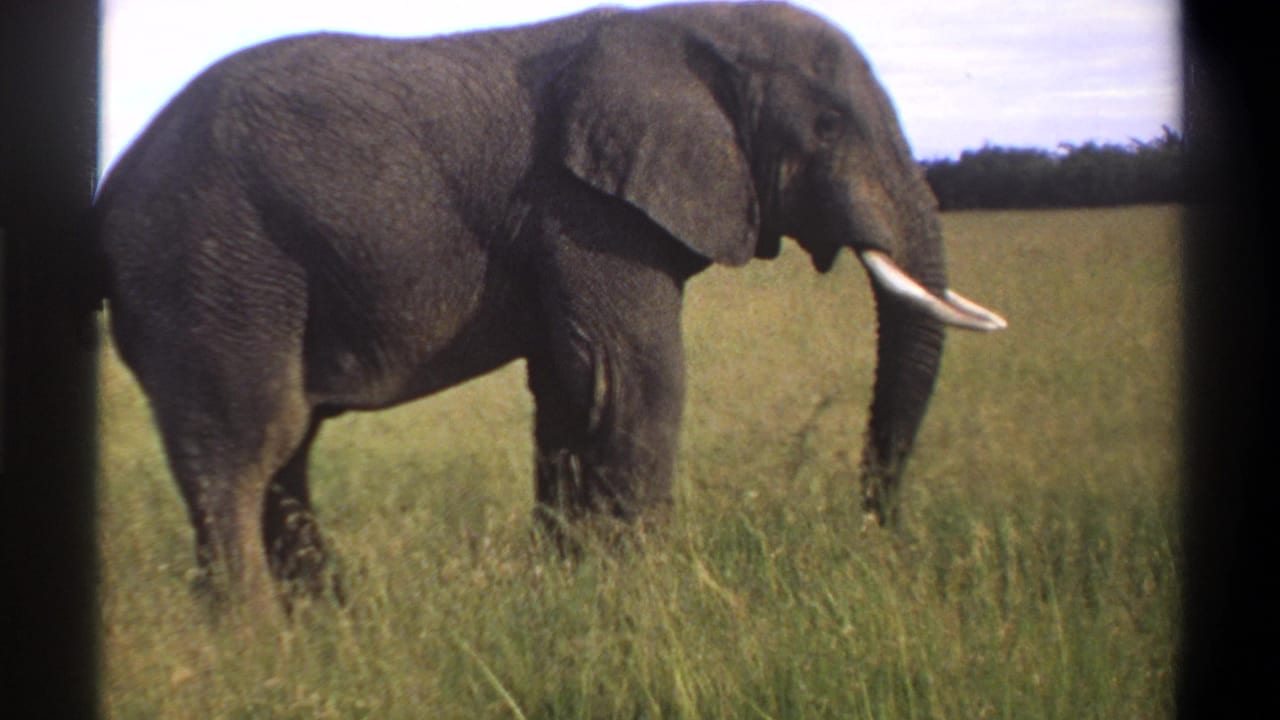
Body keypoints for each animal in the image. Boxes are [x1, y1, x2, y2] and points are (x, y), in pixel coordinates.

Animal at [94, 1, 1005, 608]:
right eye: (826, 126)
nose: (877, 534)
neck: (690, 26)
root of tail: (109, 191)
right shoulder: (586, 207)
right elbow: (633, 381)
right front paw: (648, 601)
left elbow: (572, 392)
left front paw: (568, 588)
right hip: (211, 265)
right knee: (246, 442)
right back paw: (257, 640)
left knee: (286, 452)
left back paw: (324, 622)